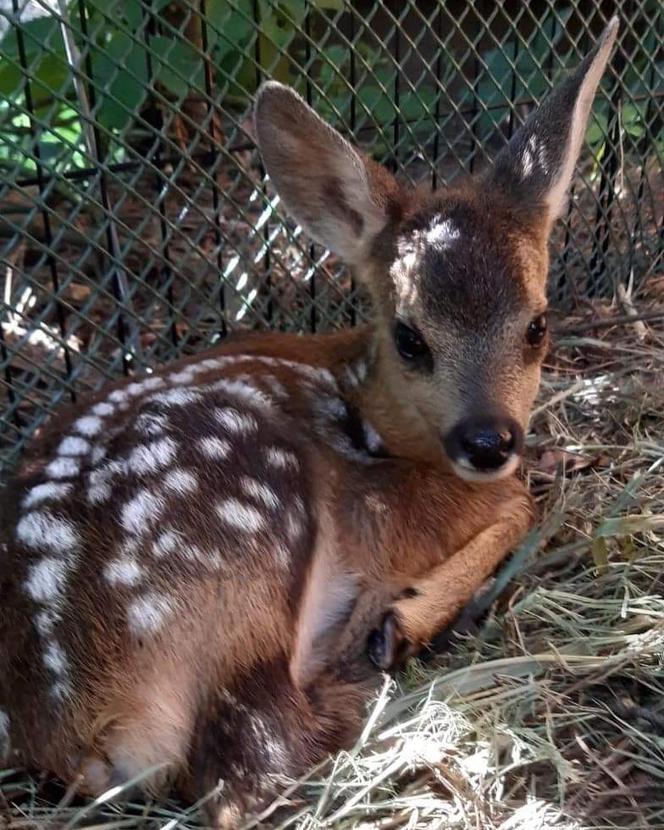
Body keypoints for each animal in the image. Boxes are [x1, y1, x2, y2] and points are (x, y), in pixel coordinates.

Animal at [0, 17, 616, 824]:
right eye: (410, 337)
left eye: (538, 325)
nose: (488, 438)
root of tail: (87, 731)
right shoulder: (384, 507)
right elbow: (519, 501)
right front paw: (402, 616)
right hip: (251, 516)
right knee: (252, 769)